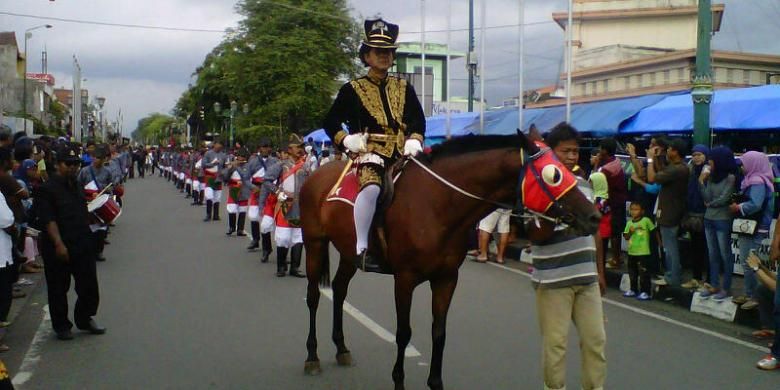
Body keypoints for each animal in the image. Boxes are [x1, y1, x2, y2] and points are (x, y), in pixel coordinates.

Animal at [298, 132, 596, 390]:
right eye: (554, 174)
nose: (593, 216)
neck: (438, 205)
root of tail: (316, 175)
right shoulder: (404, 279)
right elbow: (403, 333)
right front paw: (399, 381)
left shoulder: (447, 278)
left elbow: (439, 332)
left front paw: (435, 382)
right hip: (314, 243)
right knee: (313, 296)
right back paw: (311, 356)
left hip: (350, 252)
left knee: (339, 290)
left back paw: (341, 348)